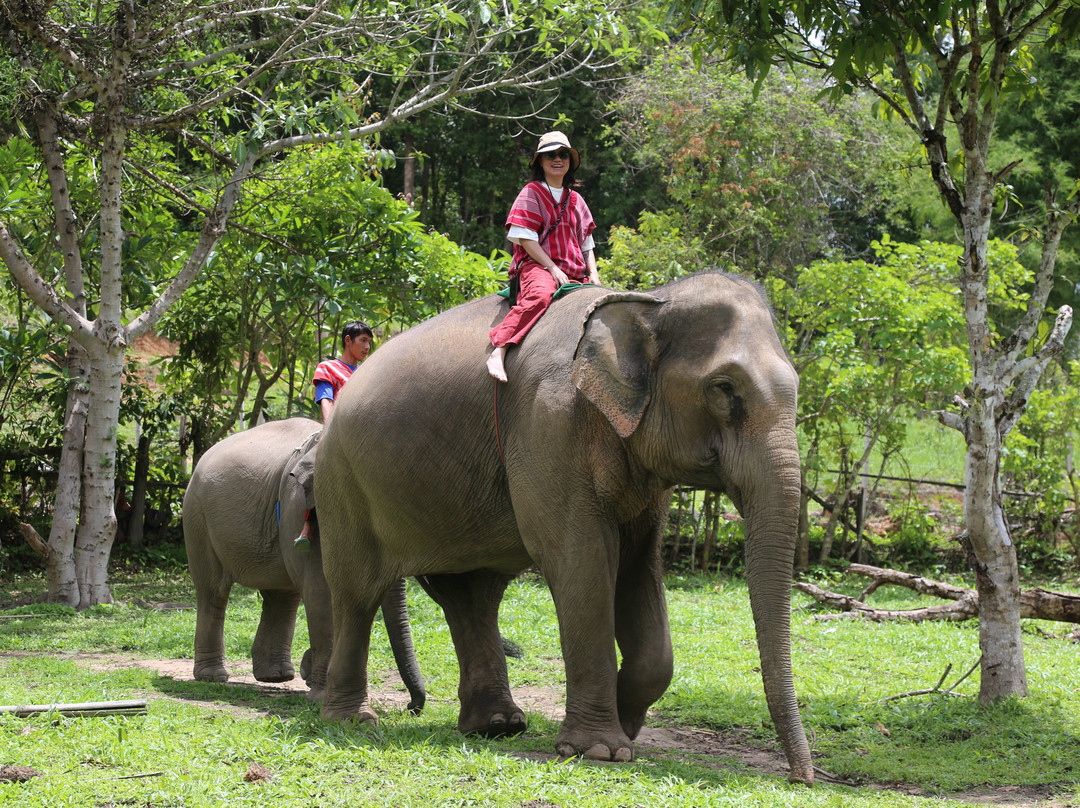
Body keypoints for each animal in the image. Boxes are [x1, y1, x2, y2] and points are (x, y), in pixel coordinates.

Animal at [182, 417, 425, 713]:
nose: (411, 707)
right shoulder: (297, 506)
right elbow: (321, 590)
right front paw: (319, 693)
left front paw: (310, 676)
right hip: (196, 515)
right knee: (213, 591)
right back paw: (213, 677)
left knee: (282, 596)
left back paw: (276, 676)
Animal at [314, 271, 813, 784]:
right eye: (724, 388)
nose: (801, 777)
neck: (649, 302)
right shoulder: (548, 425)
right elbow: (581, 559)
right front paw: (600, 750)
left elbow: (639, 565)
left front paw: (625, 722)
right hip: (341, 483)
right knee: (356, 592)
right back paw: (353, 720)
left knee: (471, 595)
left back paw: (496, 726)